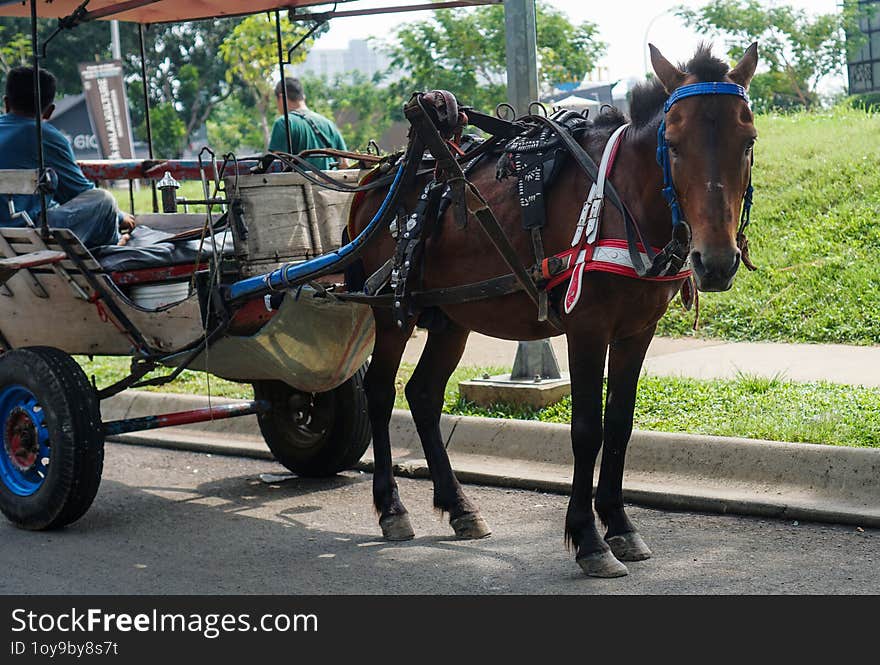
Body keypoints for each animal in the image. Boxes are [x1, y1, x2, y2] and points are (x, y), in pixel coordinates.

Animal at [348, 42, 760, 576]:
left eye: (747, 140)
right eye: (672, 140)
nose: (715, 261)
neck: (622, 198)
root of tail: (377, 178)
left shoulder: (637, 333)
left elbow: (619, 425)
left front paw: (620, 525)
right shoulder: (587, 328)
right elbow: (586, 429)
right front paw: (589, 539)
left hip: (453, 317)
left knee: (422, 394)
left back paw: (460, 507)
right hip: (391, 311)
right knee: (380, 393)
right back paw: (391, 507)